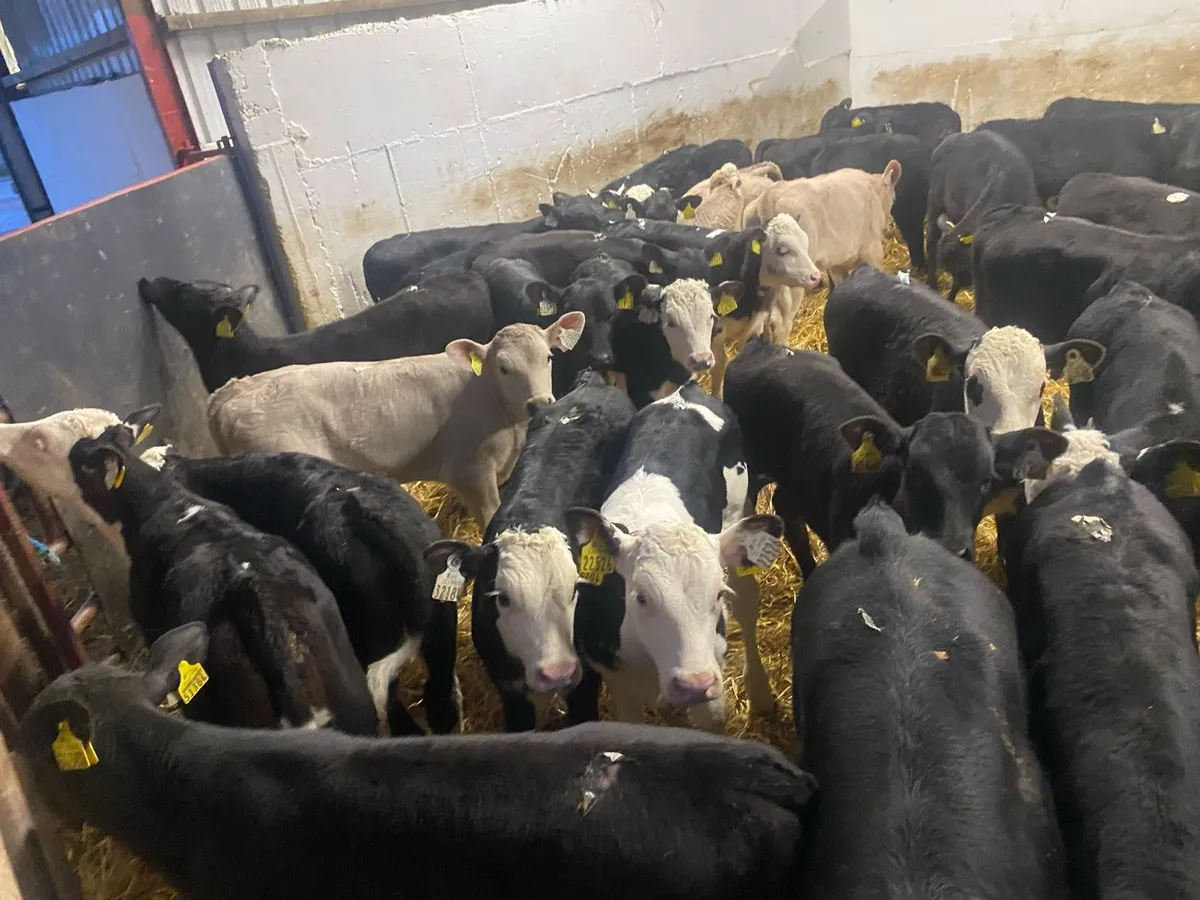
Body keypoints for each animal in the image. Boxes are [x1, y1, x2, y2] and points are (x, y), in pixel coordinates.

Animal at [207, 314, 584, 528]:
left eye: (548, 357)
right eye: (504, 367)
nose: (539, 403)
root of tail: (231, 391)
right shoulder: (470, 470)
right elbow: (491, 516)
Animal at [565, 384, 785, 728]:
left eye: (718, 594)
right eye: (641, 597)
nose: (693, 684)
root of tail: (686, 392)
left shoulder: (712, 683)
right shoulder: (619, 686)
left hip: (740, 515)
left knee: (748, 605)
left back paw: (761, 694)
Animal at [924, 130, 1039, 302]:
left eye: (963, 267)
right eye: (951, 270)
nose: (964, 283)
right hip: (935, 200)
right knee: (931, 240)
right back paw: (932, 284)